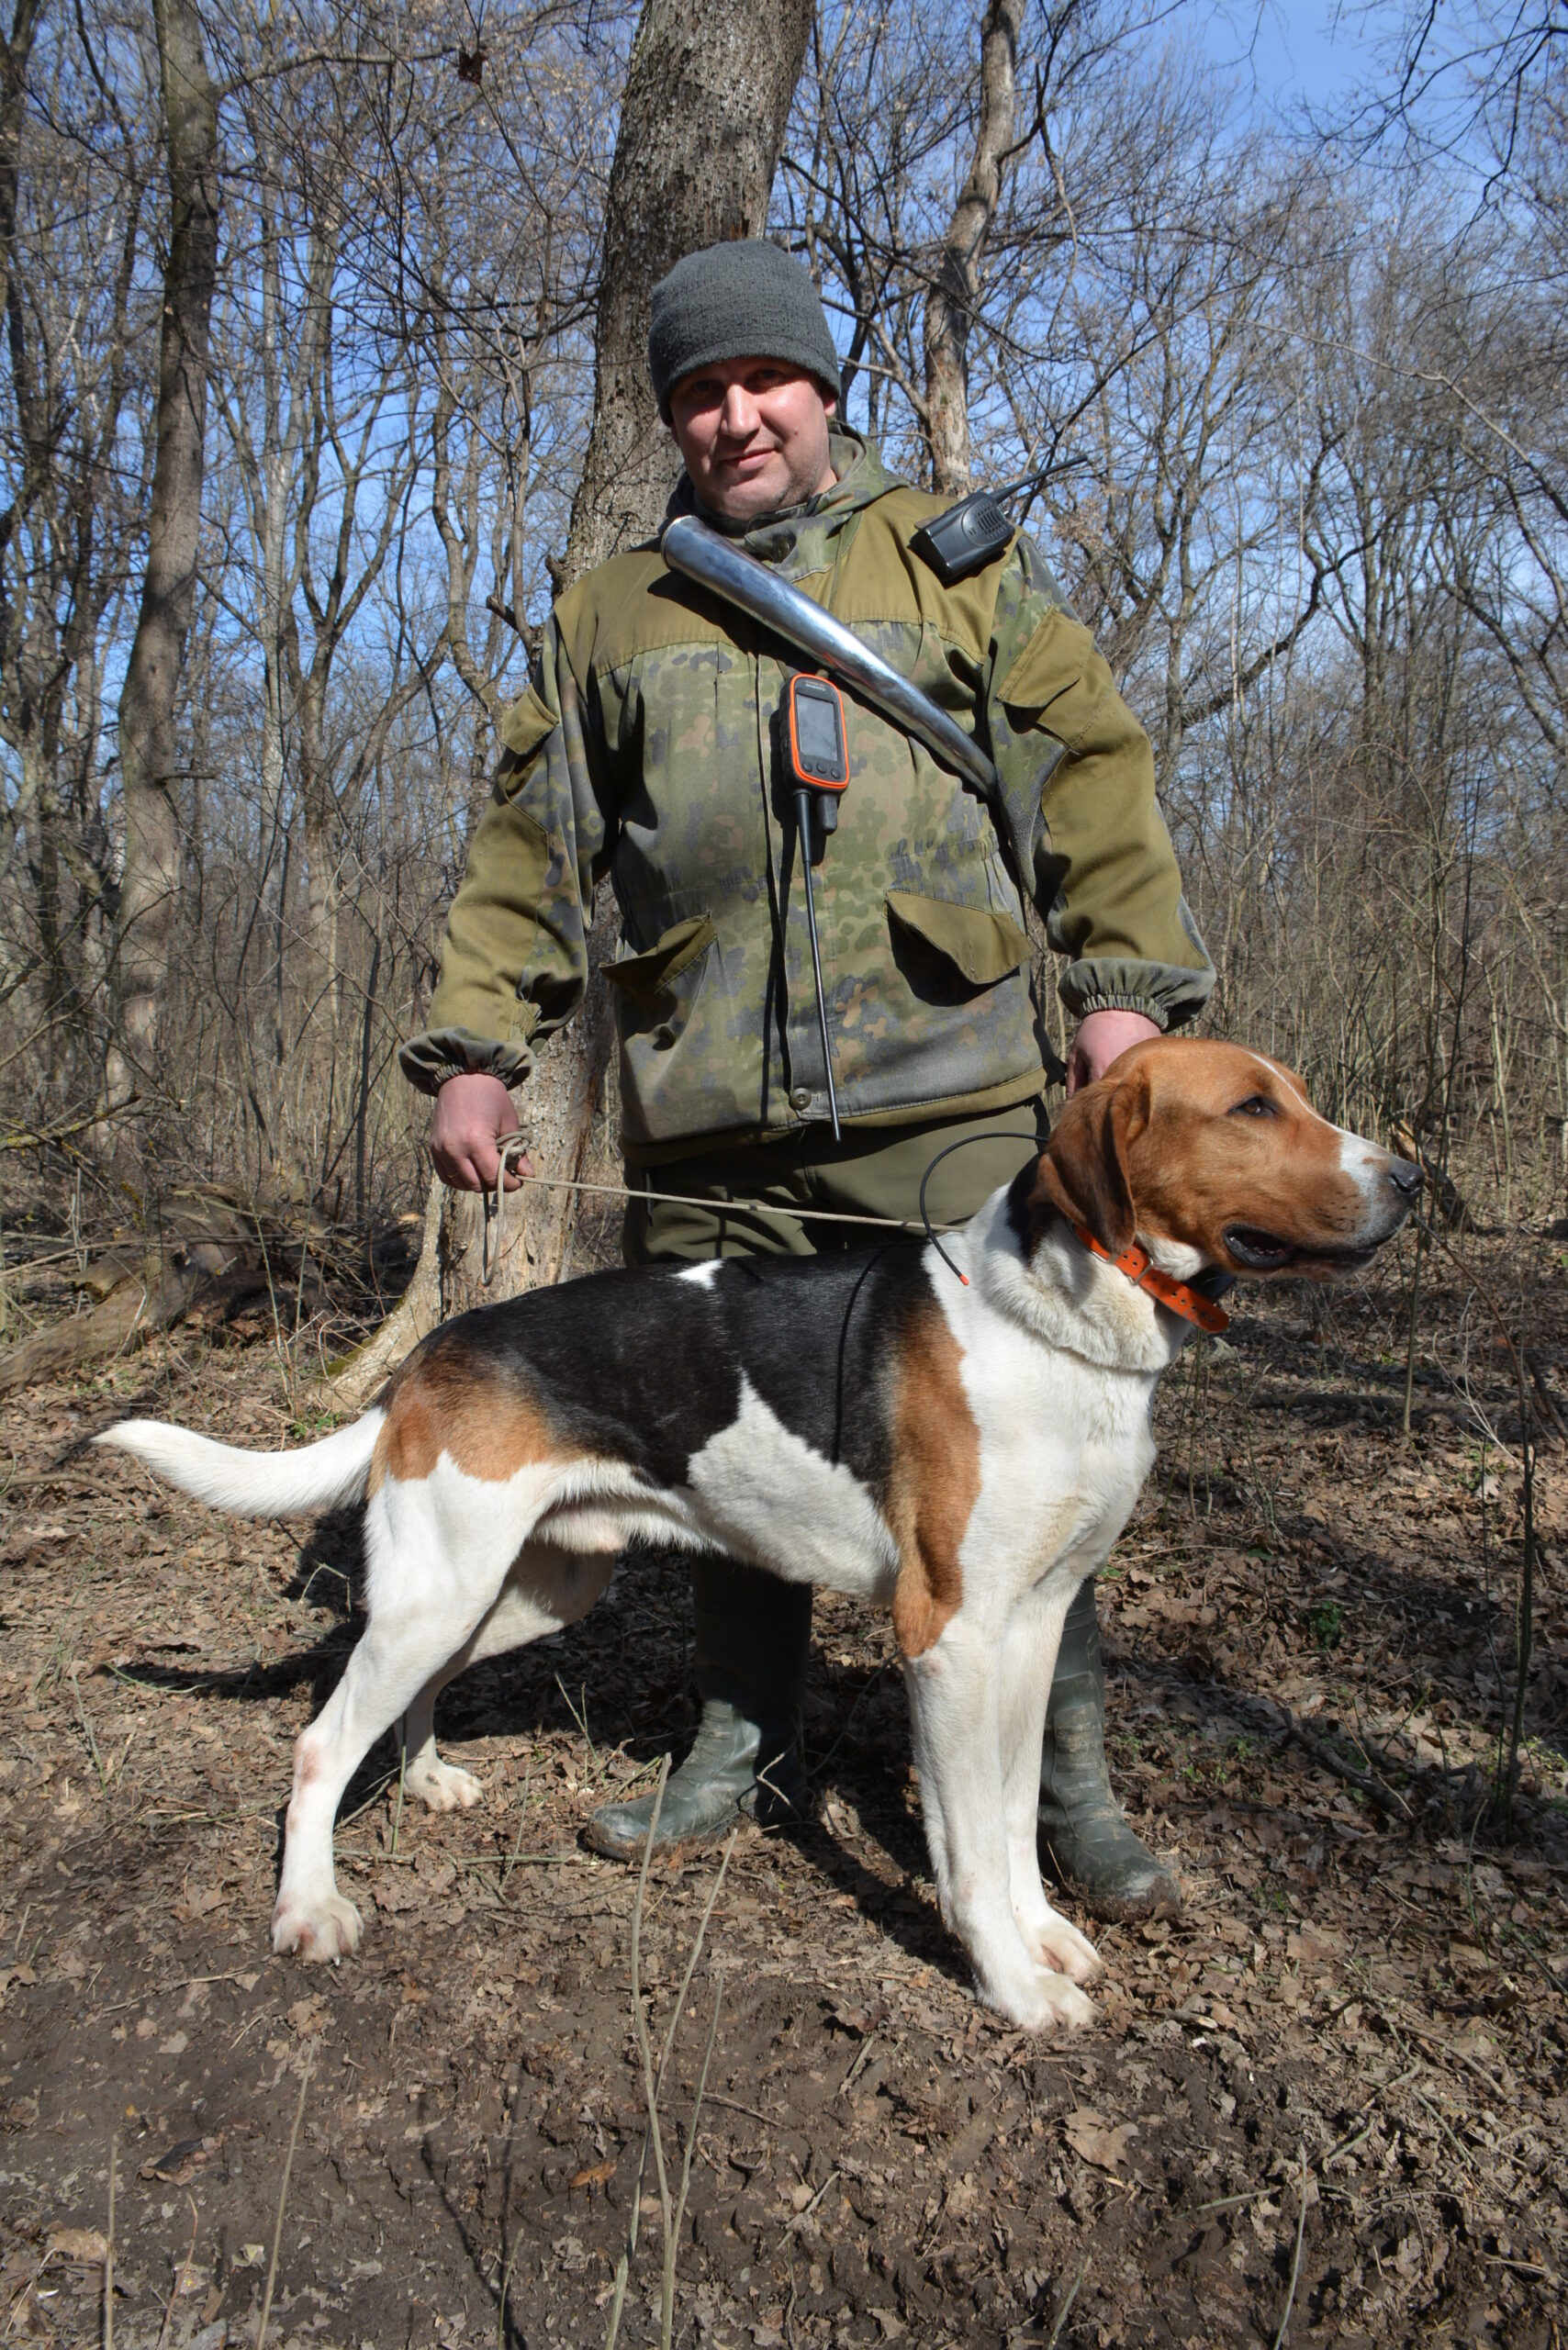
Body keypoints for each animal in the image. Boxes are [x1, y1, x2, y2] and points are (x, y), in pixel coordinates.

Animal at [101, 1038, 1419, 2030]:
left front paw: (1045, 1935)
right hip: (445, 1584)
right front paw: (1008, 1983)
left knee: (418, 1690)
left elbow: (1007, 1816)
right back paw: (307, 1910)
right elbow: (968, 1846)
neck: (1054, 1321)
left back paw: (426, 1780)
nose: (1410, 1179)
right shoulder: (948, 1635)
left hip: (521, 1589)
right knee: (320, 1744)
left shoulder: (1035, 1625)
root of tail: (430, 1351)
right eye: (1252, 1107)